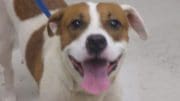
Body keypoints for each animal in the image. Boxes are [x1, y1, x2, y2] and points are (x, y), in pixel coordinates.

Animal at [0, 0, 148, 101]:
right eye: (76, 23)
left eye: (114, 23)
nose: (96, 41)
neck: (86, 93)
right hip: (4, 45)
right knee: (8, 71)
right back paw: (9, 95)